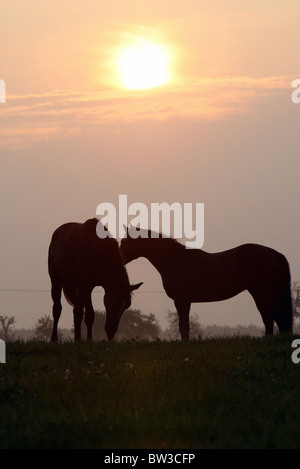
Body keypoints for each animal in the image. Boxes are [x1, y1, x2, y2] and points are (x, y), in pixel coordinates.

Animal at [120, 226, 292, 338]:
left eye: (125, 242)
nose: (119, 258)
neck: (176, 260)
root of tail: (275, 253)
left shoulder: (181, 300)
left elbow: (183, 326)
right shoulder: (185, 301)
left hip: (261, 294)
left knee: (268, 318)